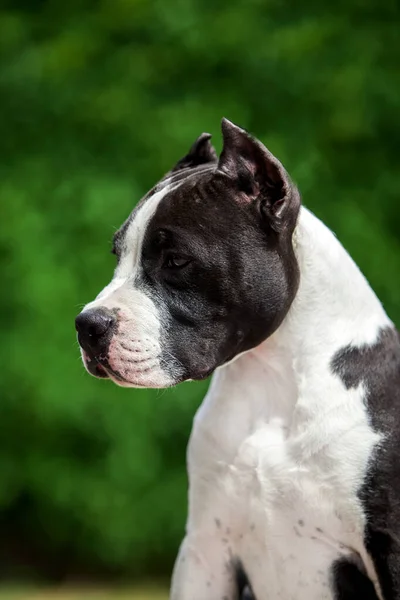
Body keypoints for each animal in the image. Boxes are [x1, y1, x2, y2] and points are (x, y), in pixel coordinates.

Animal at [75, 119, 400, 596]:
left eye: (176, 260)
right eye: (118, 256)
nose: (87, 325)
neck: (270, 378)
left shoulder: (388, 546)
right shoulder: (206, 552)